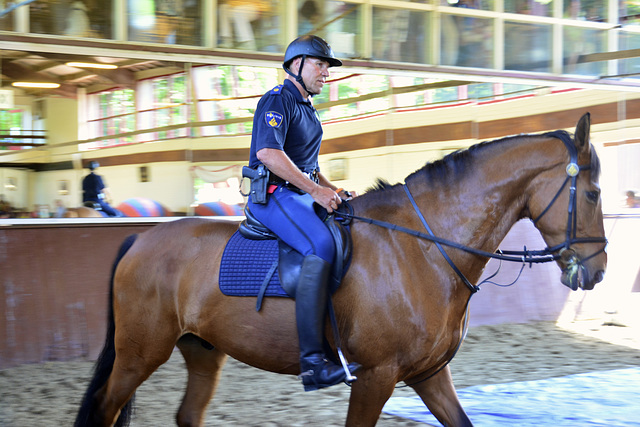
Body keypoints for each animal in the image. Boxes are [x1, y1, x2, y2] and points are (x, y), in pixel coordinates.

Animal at [74, 113, 604, 427]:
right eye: (594, 193)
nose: (596, 272)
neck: (425, 247)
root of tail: (140, 238)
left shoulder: (429, 375)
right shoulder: (375, 377)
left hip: (202, 350)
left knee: (186, 415)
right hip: (141, 353)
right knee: (105, 408)